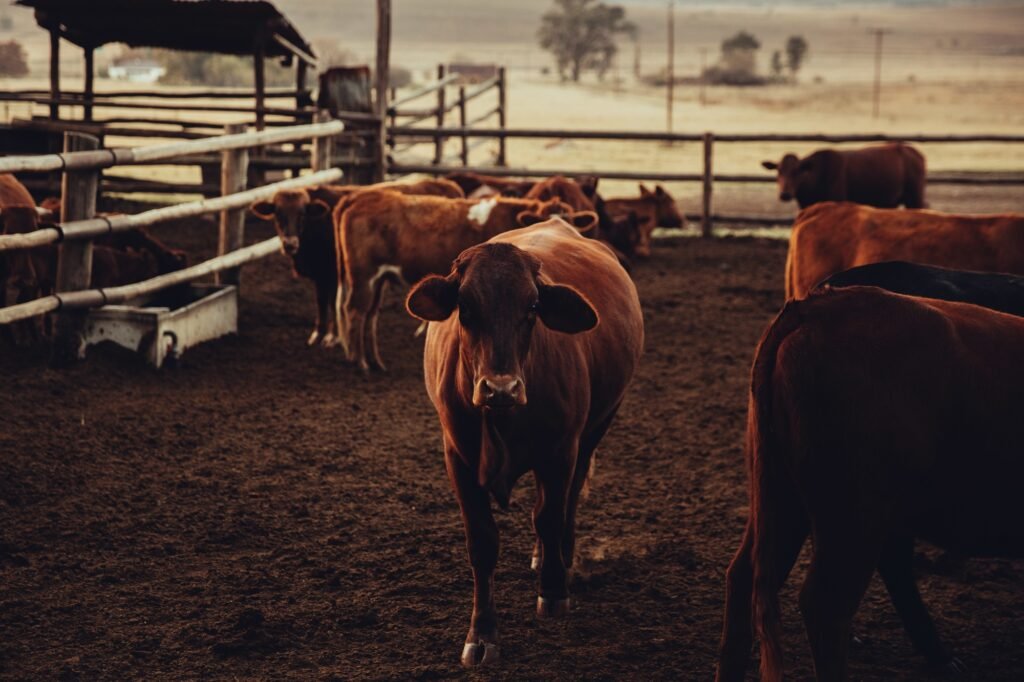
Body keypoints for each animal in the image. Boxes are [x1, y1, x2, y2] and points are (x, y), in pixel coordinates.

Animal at [249, 179, 464, 347]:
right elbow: (320, 301)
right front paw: (317, 333)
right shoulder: (320, 276)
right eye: (278, 214)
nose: (290, 244)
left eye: (302, 214)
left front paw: (332, 336)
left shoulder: (333, 274)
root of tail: (447, 184)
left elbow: (332, 302)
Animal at [335, 190, 585, 372]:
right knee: (355, 311)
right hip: (363, 277)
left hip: (377, 280)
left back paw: (374, 361)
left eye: (573, 223)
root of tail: (360, 196)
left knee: (370, 315)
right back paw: (360, 362)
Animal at [406, 218, 643, 667]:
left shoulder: (561, 449)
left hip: (598, 425)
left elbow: (548, 516)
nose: (501, 388)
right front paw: (482, 634)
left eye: (532, 307)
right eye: (465, 306)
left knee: (566, 501)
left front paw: (553, 592)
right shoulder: (457, 457)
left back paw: (559, 557)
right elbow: (482, 542)